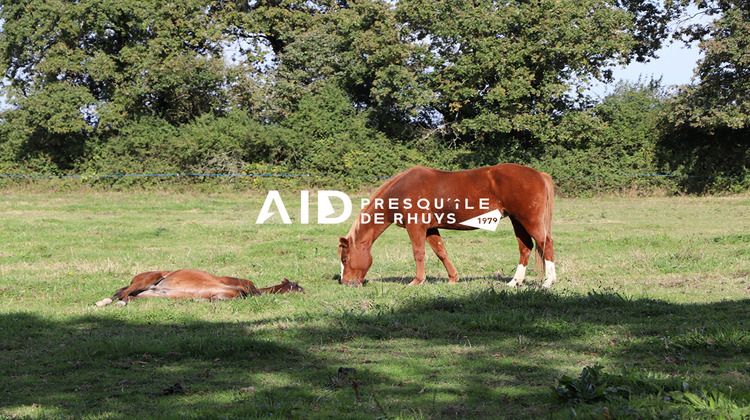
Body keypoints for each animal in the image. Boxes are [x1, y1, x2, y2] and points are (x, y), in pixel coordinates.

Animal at [338, 164, 556, 288]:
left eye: (345, 259)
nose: (346, 283)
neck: (401, 191)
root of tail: (539, 174)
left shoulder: (416, 228)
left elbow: (419, 253)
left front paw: (417, 281)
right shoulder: (430, 229)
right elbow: (441, 252)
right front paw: (453, 278)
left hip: (530, 220)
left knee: (546, 243)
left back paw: (548, 282)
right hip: (517, 220)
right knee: (525, 247)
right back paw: (514, 282)